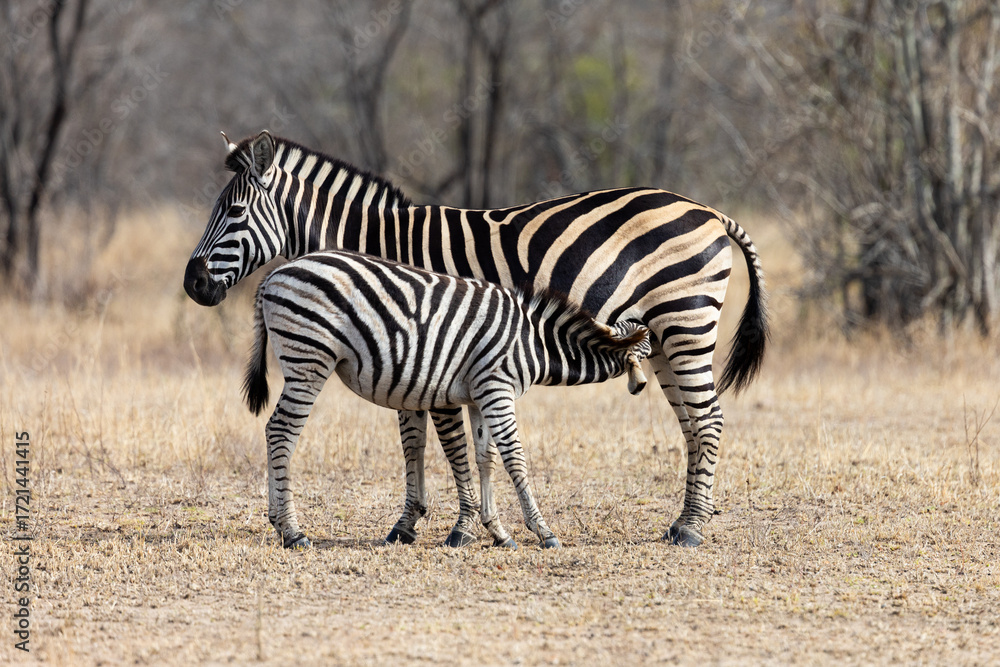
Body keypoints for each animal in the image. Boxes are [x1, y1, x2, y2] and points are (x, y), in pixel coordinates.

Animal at [244, 249, 652, 549]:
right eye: (650, 351)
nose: (644, 387)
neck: (534, 341)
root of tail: (277, 273)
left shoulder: (480, 395)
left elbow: (485, 458)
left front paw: (497, 531)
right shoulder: (497, 388)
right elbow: (515, 458)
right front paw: (543, 531)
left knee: (272, 430)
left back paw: (277, 522)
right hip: (309, 359)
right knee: (282, 432)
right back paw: (293, 532)